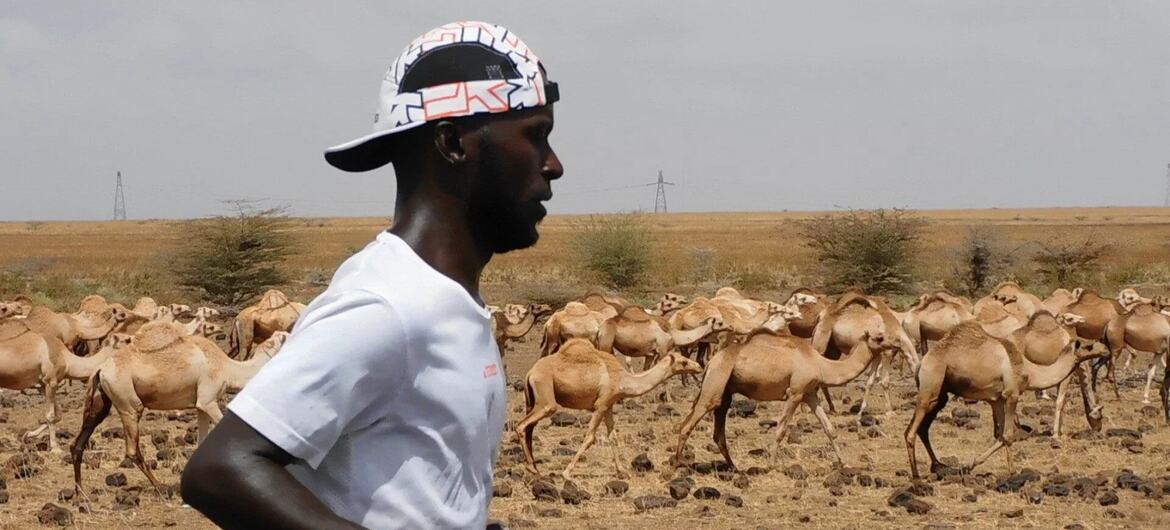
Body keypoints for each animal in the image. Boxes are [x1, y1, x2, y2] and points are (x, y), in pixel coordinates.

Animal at [0, 320, 125, 451]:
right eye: (126, 340)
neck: (67, 360)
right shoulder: (51, 381)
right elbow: (51, 415)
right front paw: (55, 447)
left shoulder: (44, 385)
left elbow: (58, 415)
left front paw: (29, 435)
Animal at [70, 323, 288, 493]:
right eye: (284, 338)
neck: (228, 370)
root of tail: (100, 369)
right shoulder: (208, 399)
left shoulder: (200, 405)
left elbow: (201, 440)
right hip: (127, 400)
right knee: (132, 448)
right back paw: (160, 487)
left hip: (101, 401)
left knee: (78, 442)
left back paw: (80, 493)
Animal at [515, 339, 702, 479]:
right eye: (683, 361)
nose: (699, 366)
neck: (623, 380)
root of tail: (530, 373)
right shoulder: (601, 404)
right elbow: (590, 437)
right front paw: (567, 472)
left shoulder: (608, 405)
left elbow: (613, 436)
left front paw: (622, 471)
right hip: (546, 397)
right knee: (522, 425)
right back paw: (532, 468)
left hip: (533, 400)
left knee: (529, 427)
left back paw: (534, 468)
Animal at [672, 327, 902, 469]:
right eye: (879, 338)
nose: (897, 343)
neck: (821, 365)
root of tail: (712, 362)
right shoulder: (795, 392)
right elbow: (781, 429)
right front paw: (771, 464)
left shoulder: (810, 393)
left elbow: (829, 428)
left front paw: (844, 463)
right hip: (716, 382)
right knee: (688, 423)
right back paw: (676, 465)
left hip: (725, 390)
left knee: (718, 430)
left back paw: (734, 467)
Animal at [904, 321, 1105, 479]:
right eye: (1088, 346)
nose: (1105, 349)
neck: (1029, 371)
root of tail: (921, 363)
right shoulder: (1012, 394)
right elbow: (1009, 435)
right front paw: (1013, 472)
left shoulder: (997, 399)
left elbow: (1000, 436)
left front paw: (972, 464)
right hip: (931, 382)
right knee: (911, 431)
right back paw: (916, 476)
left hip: (940, 394)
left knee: (922, 428)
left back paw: (938, 465)